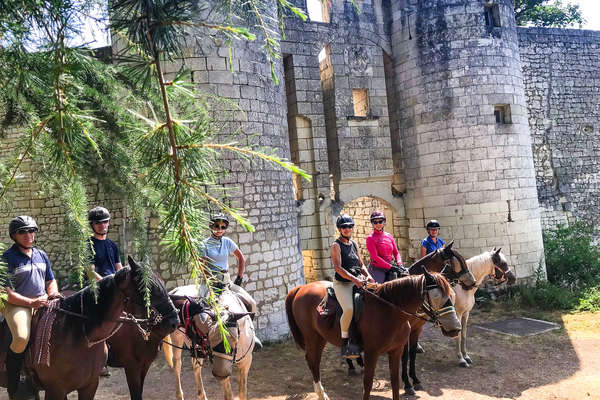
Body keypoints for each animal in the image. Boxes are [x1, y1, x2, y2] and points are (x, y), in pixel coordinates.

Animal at [284, 268, 460, 400]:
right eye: (435, 296)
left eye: (452, 295)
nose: (456, 328)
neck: (389, 311)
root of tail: (301, 288)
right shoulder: (371, 353)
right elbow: (367, 384)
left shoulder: (396, 351)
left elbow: (395, 381)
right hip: (314, 337)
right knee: (313, 361)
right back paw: (322, 393)